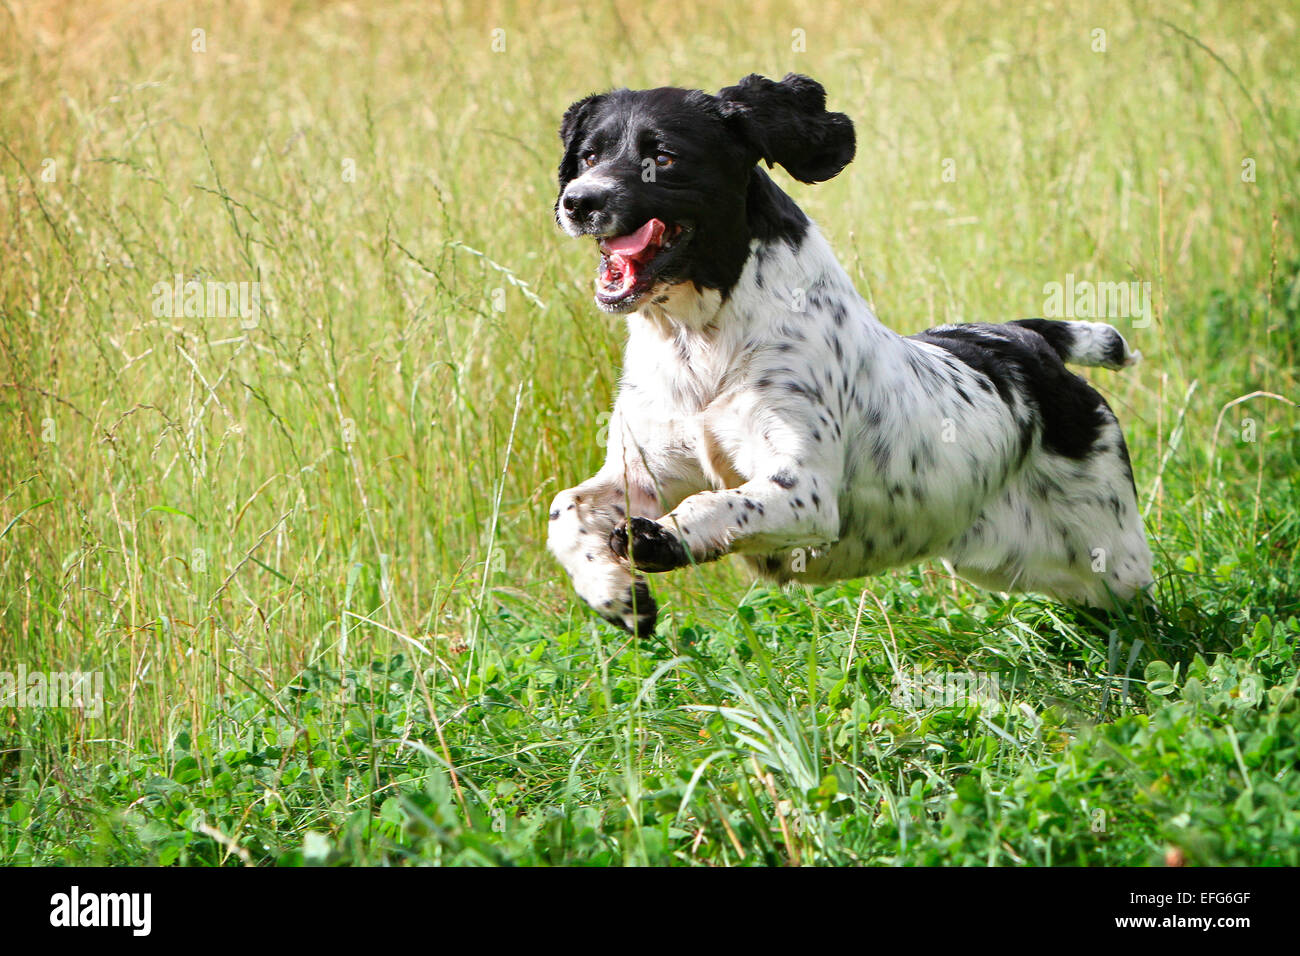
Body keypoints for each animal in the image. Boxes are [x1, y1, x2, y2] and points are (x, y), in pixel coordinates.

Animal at [543, 69, 1154, 634]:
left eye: (664, 157)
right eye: (588, 154)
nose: (578, 201)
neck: (701, 340)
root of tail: (1023, 342)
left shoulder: (804, 491)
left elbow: (715, 503)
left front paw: (662, 538)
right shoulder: (647, 470)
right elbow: (564, 507)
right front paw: (615, 593)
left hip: (1114, 556)